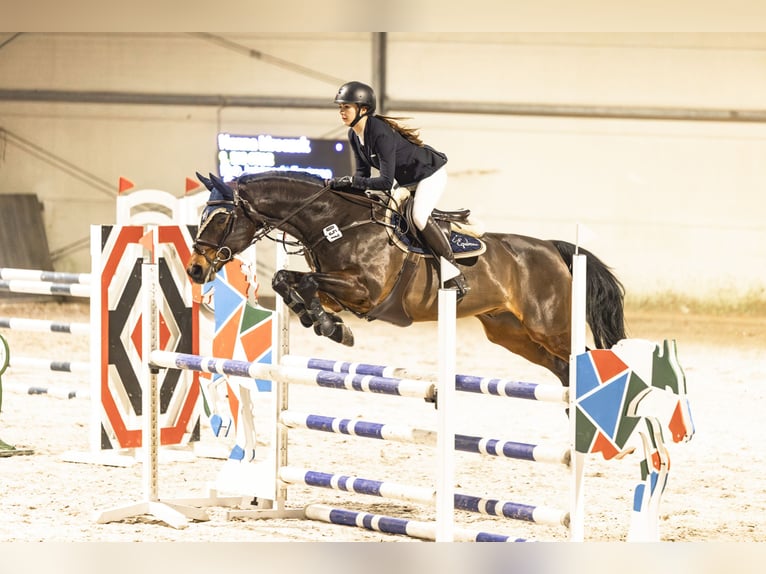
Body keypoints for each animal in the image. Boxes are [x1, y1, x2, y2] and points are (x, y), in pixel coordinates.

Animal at [189, 171, 628, 388]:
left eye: (222, 218)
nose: (195, 269)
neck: (336, 222)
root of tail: (553, 249)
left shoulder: (364, 292)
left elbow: (306, 281)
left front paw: (332, 327)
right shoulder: (338, 290)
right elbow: (288, 278)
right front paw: (325, 322)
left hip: (550, 327)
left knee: (583, 358)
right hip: (511, 333)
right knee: (563, 370)